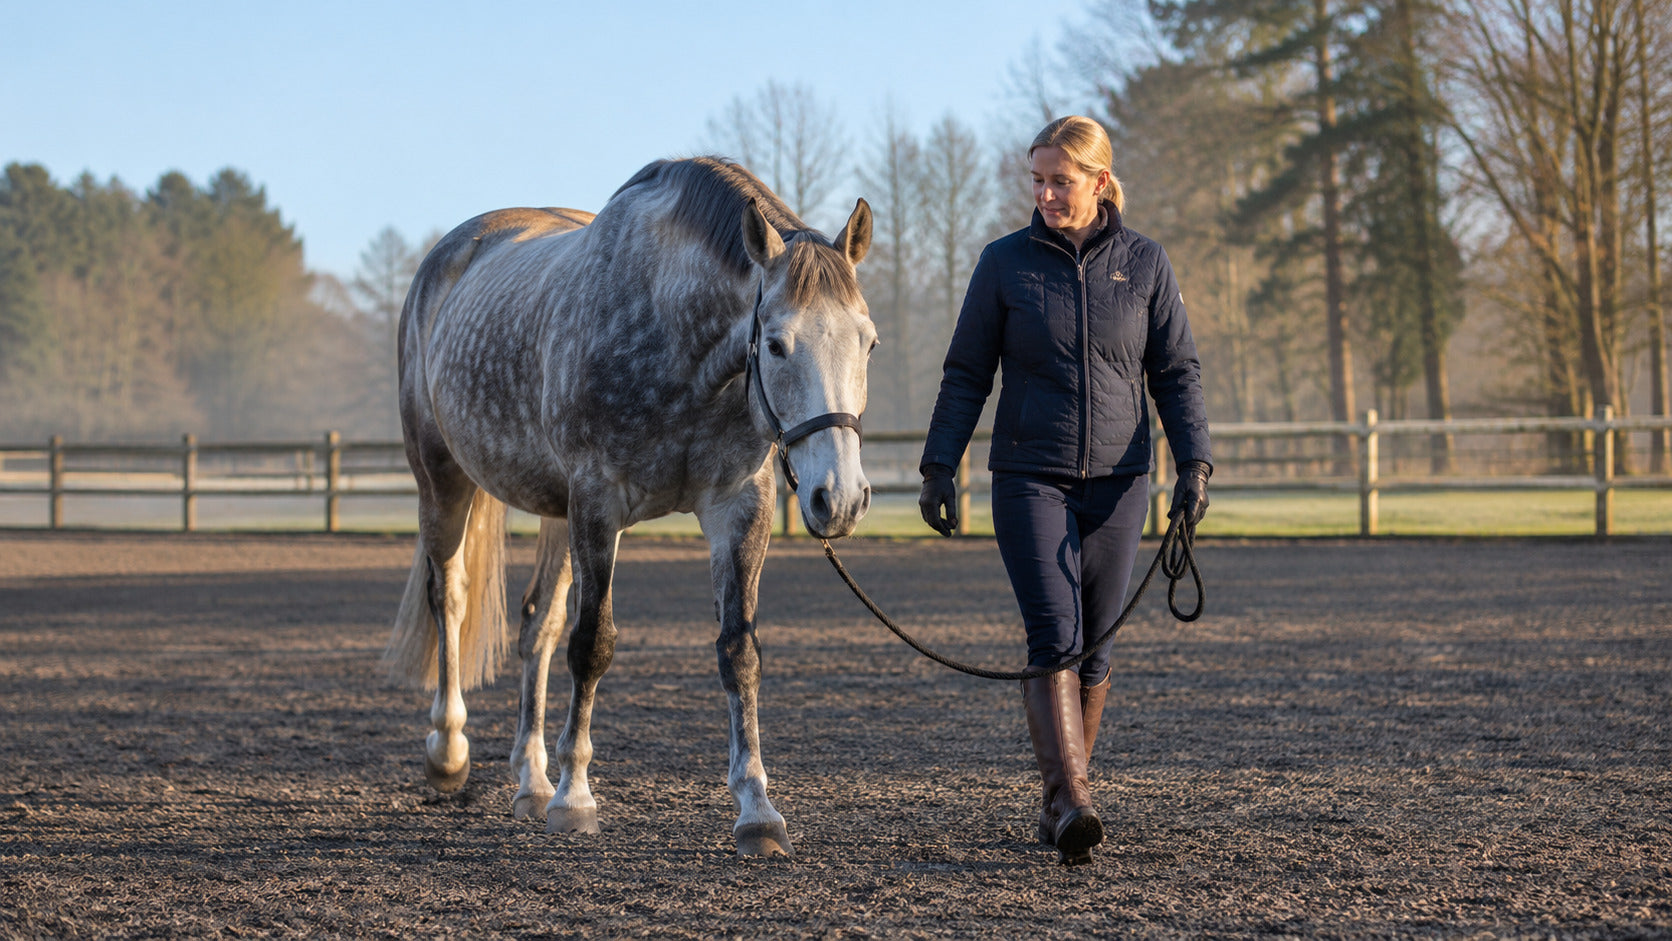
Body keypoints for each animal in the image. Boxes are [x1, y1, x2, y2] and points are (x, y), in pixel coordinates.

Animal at [382, 157, 875, 858]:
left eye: (868, 342)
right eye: (777, 344)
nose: (840, 498)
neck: (677, 345)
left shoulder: (738, 508)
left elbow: (739, 652)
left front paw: (757, 810)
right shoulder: (598, 502)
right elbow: (593, 645)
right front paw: (574, 798)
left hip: (553, 512)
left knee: (537, 625)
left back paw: (531, 779)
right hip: (442, 479)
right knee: (448, 598)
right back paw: (450, 751)